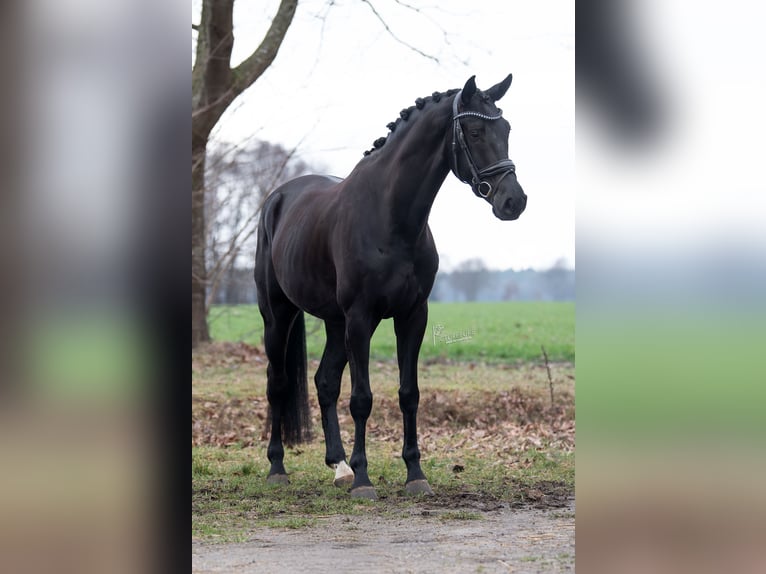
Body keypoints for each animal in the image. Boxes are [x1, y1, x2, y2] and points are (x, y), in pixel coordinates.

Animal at [254, 75, 527, 499]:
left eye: (507, 130)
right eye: (475, 131)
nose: (514, 201)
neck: (390, 218)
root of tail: (277, 198)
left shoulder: (412, 316)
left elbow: (408, 394)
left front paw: (414, 474)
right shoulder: (361, 318)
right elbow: (362, 399)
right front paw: (364, 480)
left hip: (335, 323)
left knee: (325, 382)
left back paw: (338, 465)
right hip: (279, 315)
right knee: (278, 383)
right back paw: (279, 467)